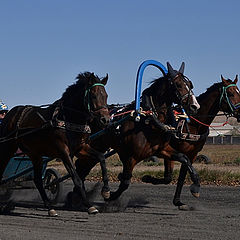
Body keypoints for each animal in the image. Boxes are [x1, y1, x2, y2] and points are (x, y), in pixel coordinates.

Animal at [0, 71, 110, 216]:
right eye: (93, 95)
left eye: (106, 95)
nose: (105, 120)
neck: (67, 119)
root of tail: (11, 114)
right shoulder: (63, 151)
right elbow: (76, 179)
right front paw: (89, 205)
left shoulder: (81, 148)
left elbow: (101, 158)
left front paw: (106, 191)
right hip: (7, 147)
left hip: (35, 154)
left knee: (37, 180)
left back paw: (50, 207)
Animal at [71, 62, 201, 206]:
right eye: (178, 85)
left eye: (190, 84)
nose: (195, 106)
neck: (149, 120)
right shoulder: (131, 156)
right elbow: (125, 182)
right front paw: (109, 195)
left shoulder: (160, 150)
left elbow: (184, 158)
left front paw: (195, 185)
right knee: (82, 166)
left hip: (98, 147)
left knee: (83, 165)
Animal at [142, 75, 240, 210]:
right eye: (230, 93)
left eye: (239, 92)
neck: (192, 123)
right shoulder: (170, 151)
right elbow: (168, 177)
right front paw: (146, 178)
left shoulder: (192, 154)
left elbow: (181, 177)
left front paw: (178, 201)